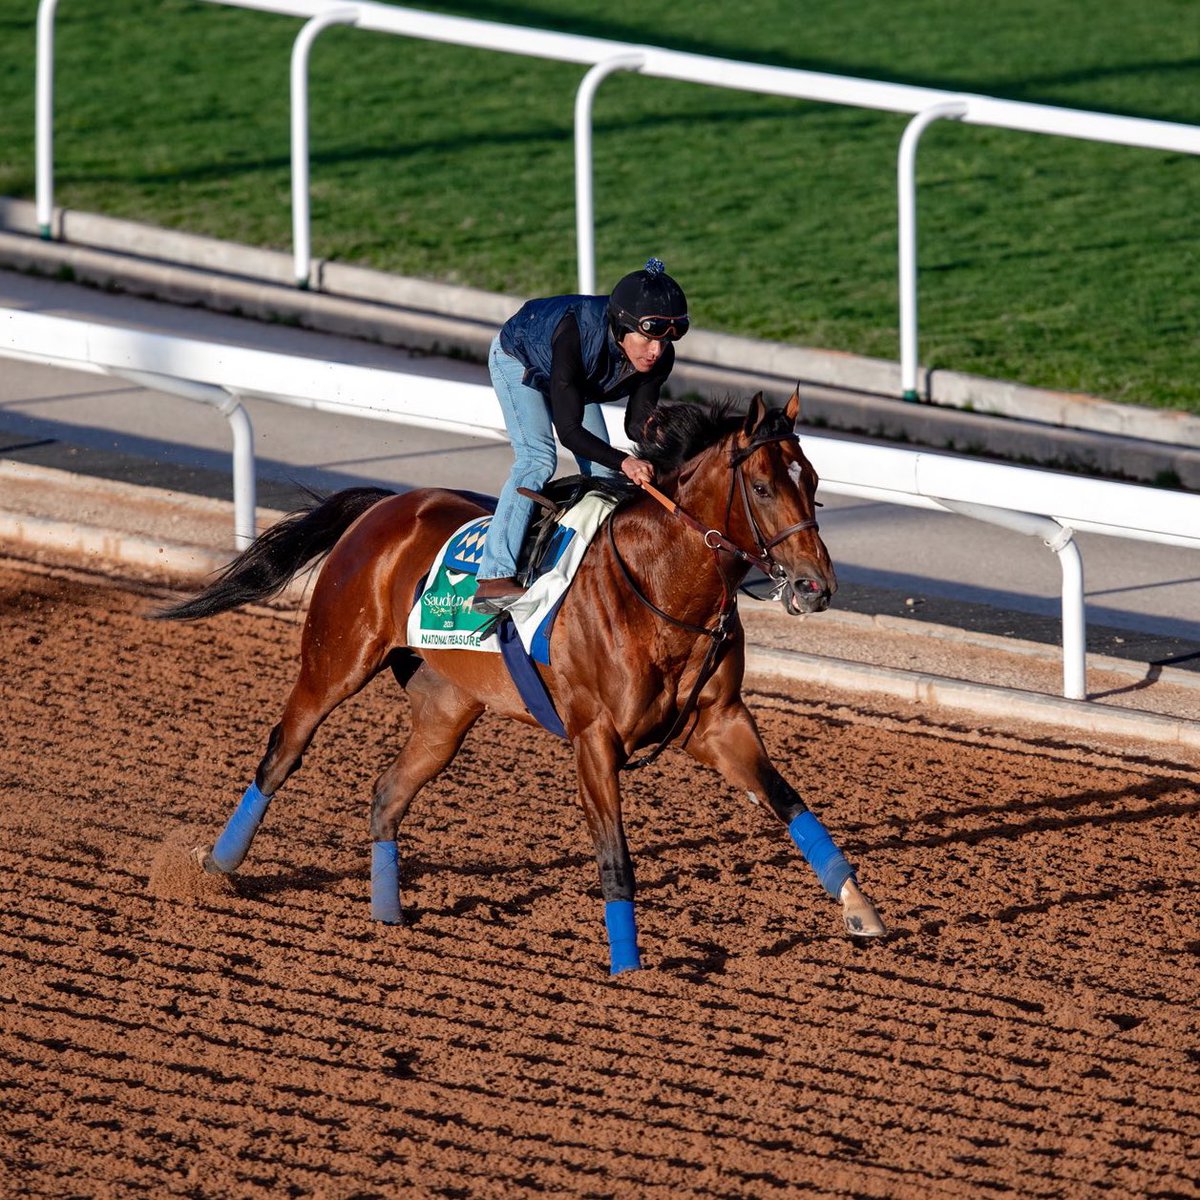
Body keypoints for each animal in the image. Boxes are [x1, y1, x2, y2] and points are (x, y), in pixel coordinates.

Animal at [159, 393, 888, 974]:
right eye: (763, 487)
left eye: (812, 480)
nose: (816, 587)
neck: (659, 589)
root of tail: (386, 505)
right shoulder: (594, 737)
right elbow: (615, 857)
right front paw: (629, 971)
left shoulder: (719, 723)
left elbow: (791, 803)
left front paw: (862, 910)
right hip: (335, 662)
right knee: (282, 754)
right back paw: (211, 872)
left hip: (447, 711)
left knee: (387, 794)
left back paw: (388, 914)